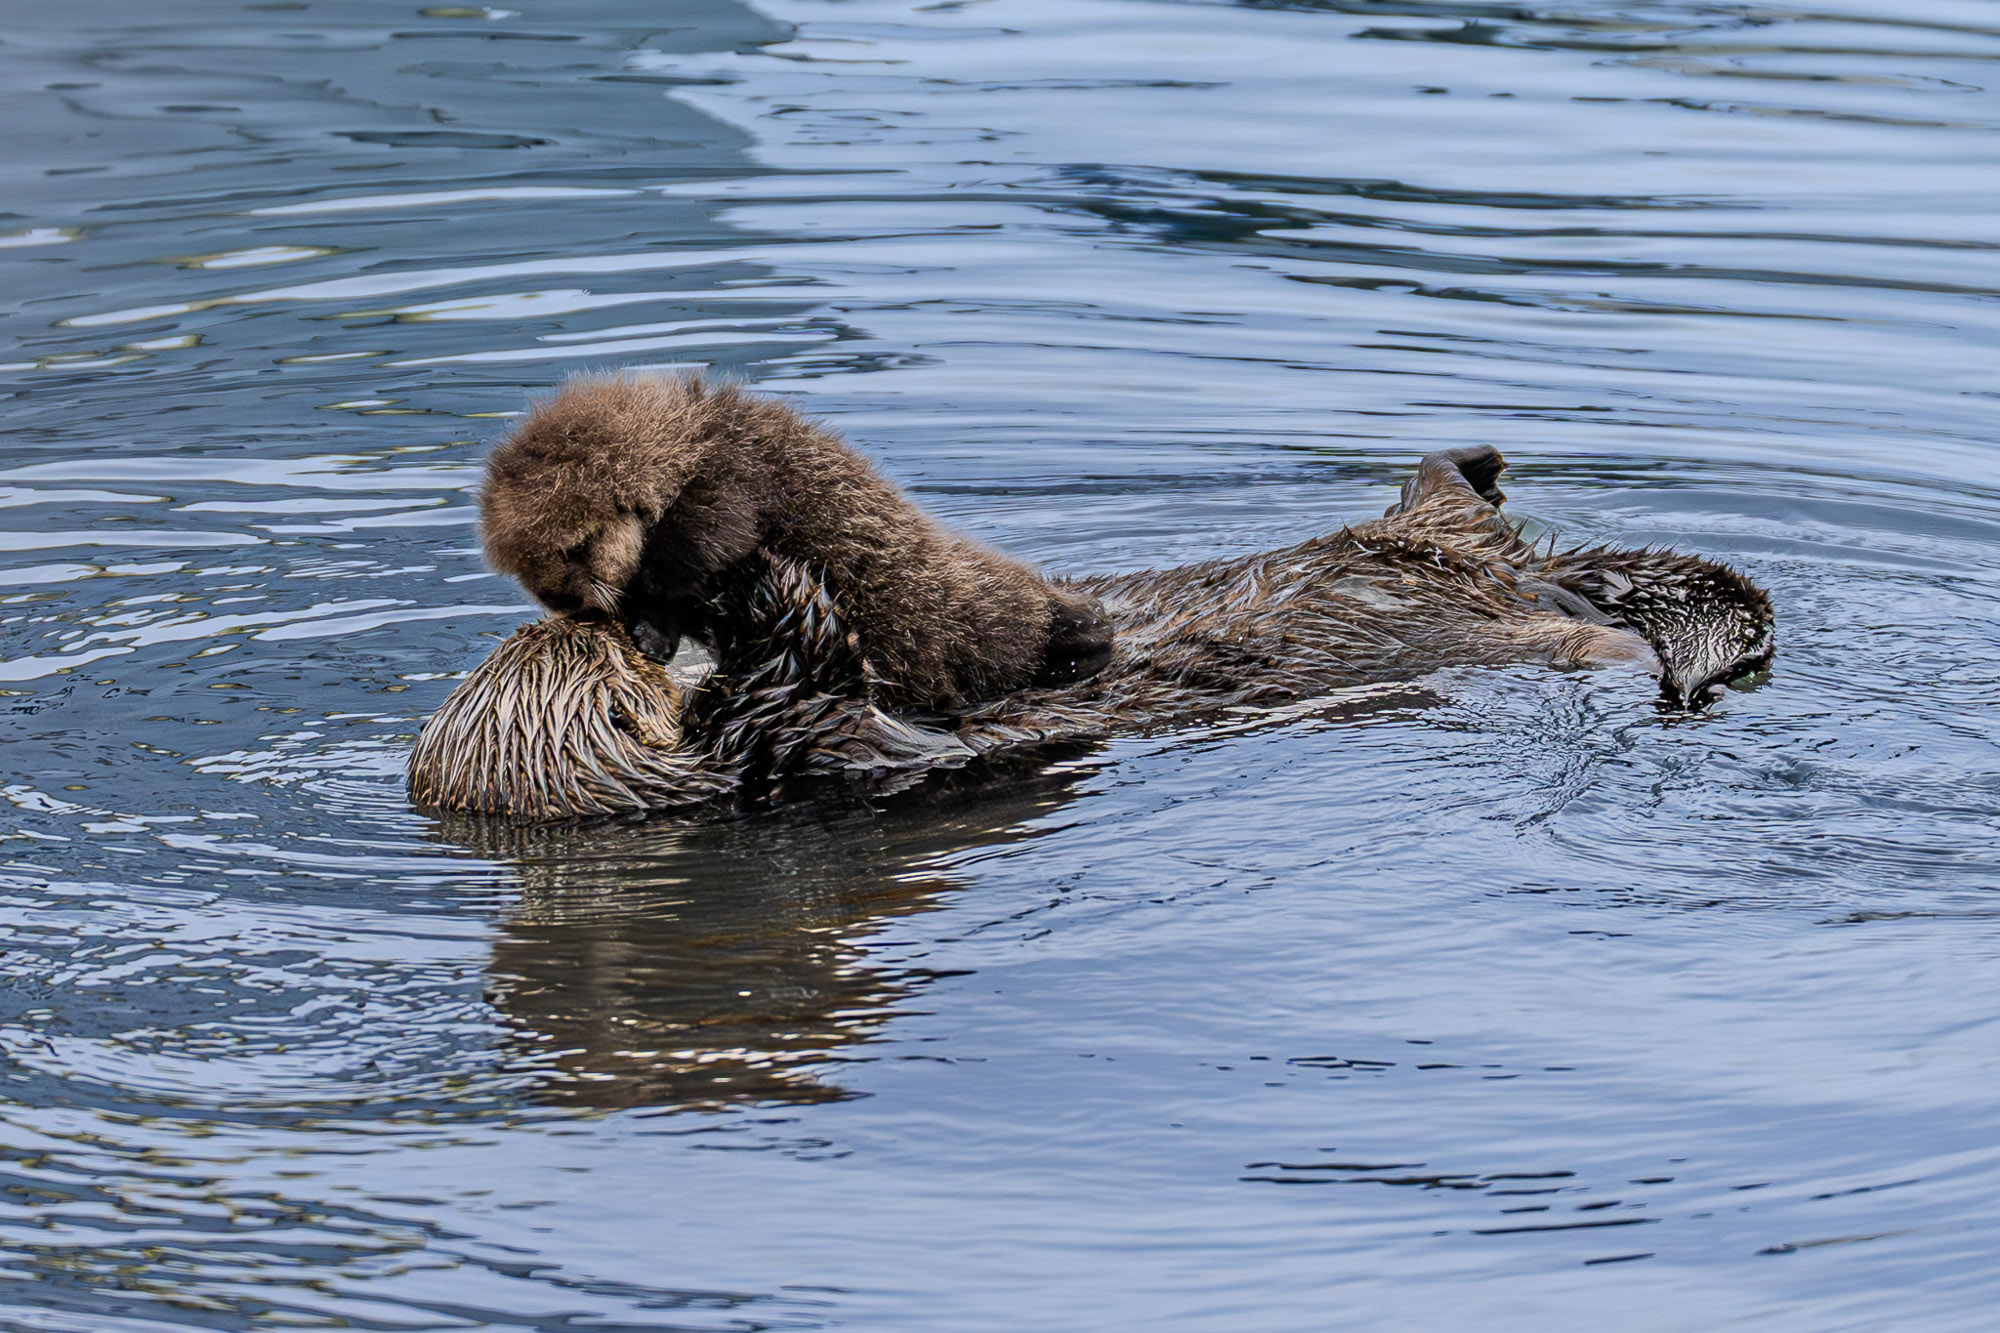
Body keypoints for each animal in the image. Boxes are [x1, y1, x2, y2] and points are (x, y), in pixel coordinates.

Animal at [412, 409, 1773, 820]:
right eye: (609, 671)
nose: (629, 627)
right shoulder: (811, 751)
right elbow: (822, 689)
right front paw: (757, 588)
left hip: (1428, 545)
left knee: (1448, 504)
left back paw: (1468, 461)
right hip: (1499, 606)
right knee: (1578, 619)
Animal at [479, 373, 1111, 710]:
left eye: (576, 548)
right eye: (526, 573)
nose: (564, 602)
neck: (683, 447)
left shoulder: (728, 478)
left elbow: (698, 541)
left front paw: (646, 600)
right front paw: (650, 634)